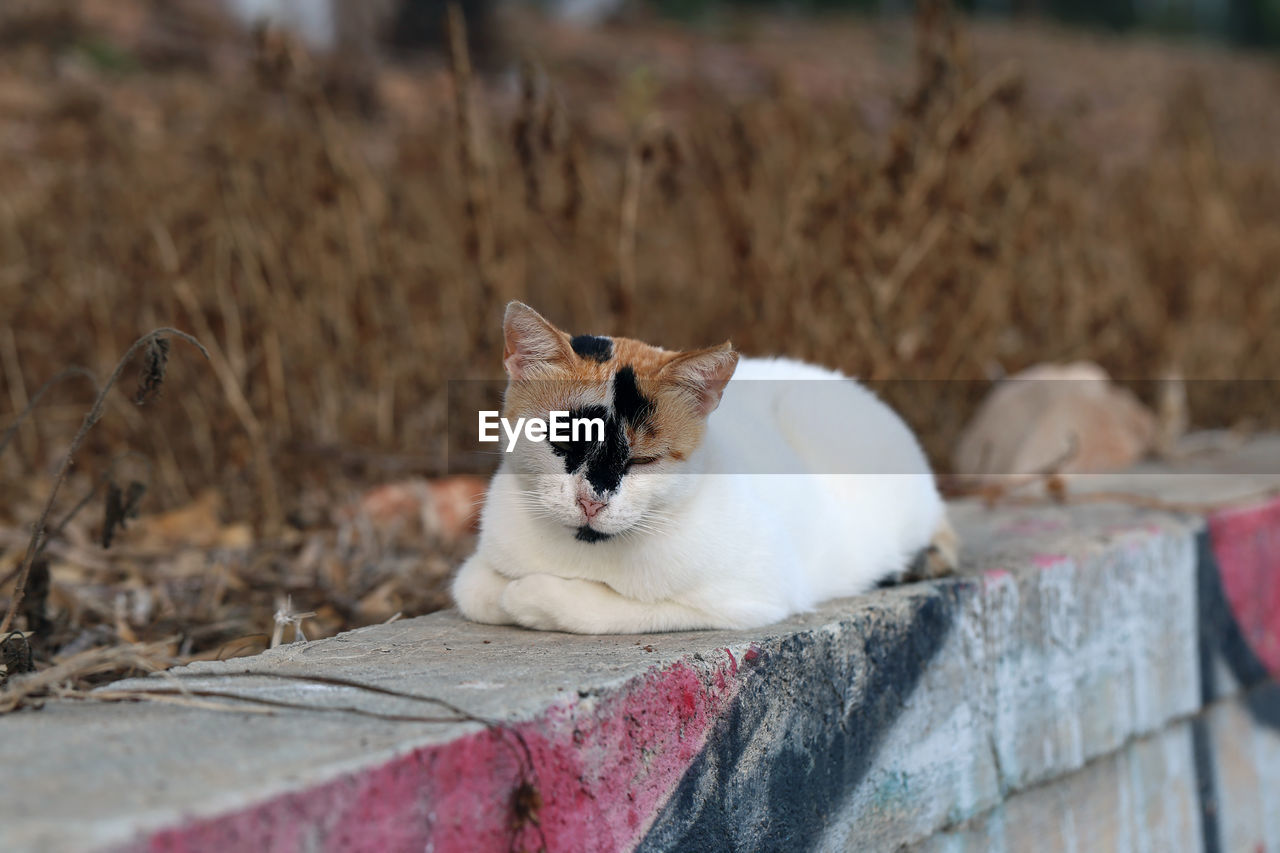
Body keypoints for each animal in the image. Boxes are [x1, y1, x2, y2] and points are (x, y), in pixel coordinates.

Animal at [453, 300, 962, 630]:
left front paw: (531, 597)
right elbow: (473, 588)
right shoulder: (479, 566)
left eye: (645, 460)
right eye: (561, 441)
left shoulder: (750, 597)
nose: (590, 502)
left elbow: (614, 609)